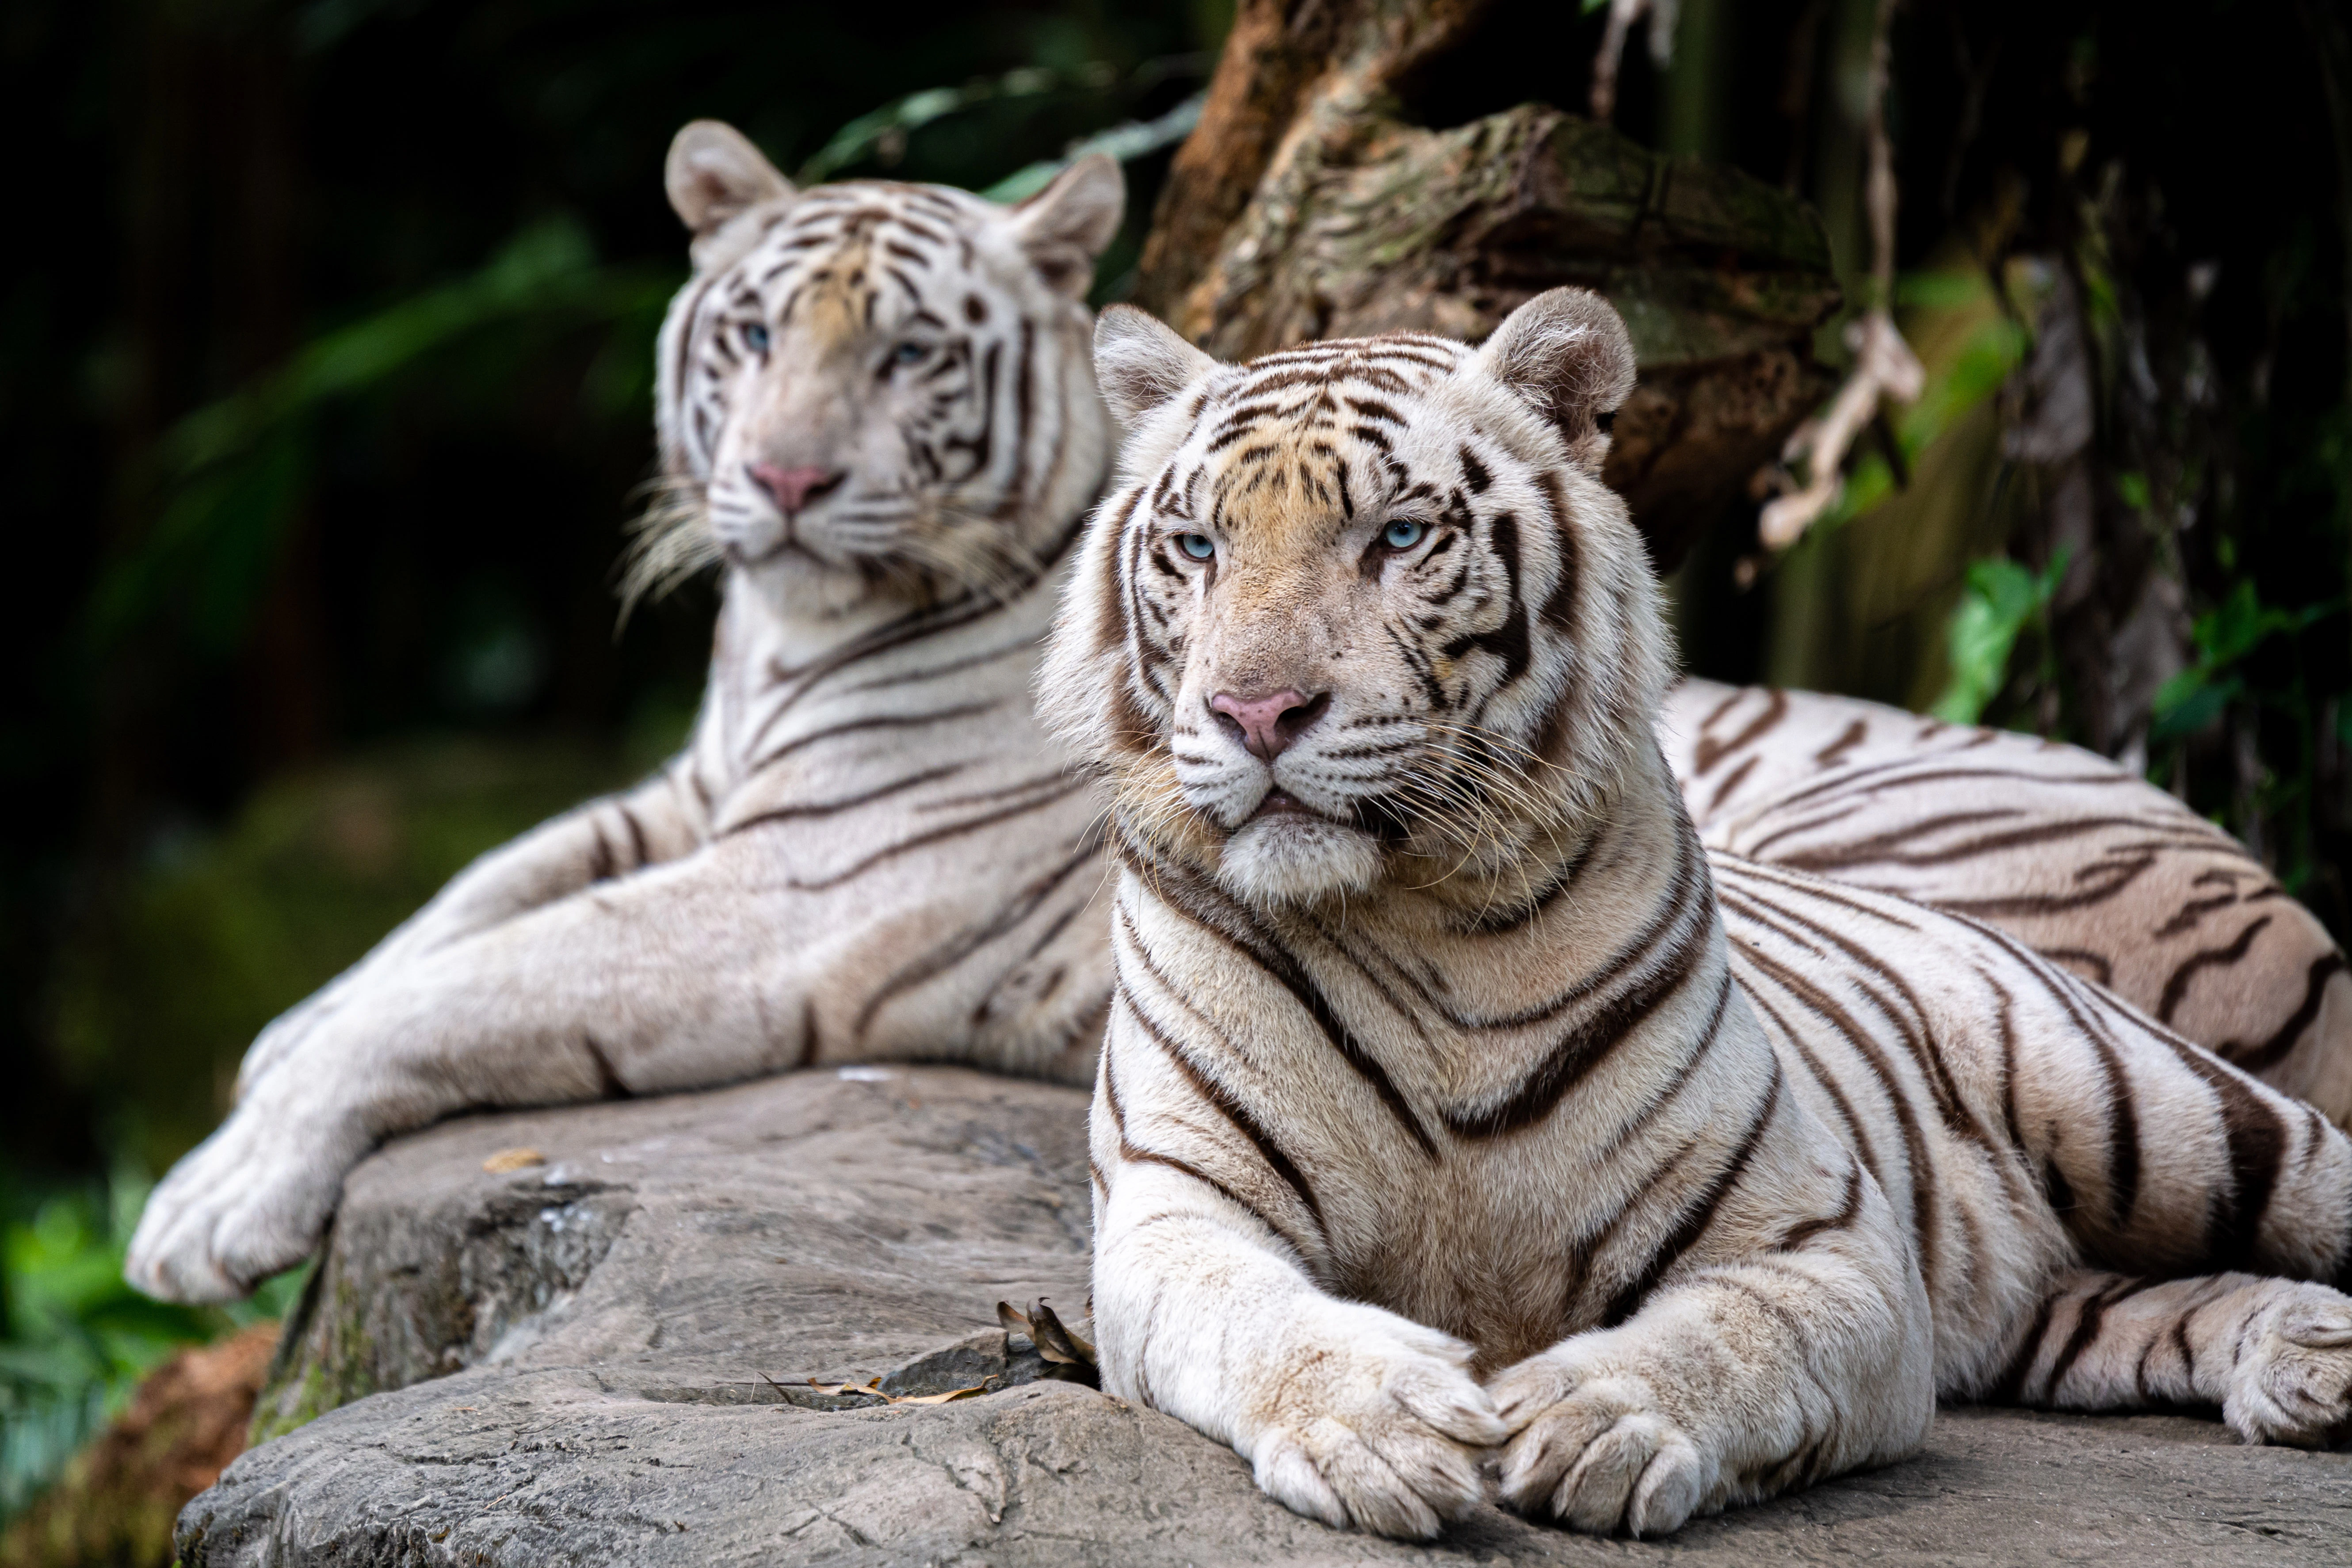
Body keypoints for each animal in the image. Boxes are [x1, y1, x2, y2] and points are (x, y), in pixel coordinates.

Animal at [125, 120, 1126, 1304]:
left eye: (911, 355)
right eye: (754, 335)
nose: (786, 480)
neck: (782, 640)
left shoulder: (805, 883)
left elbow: (469, 980)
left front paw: (212, 1200)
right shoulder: (686, 794)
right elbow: (476, 889)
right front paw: (284, 1030)